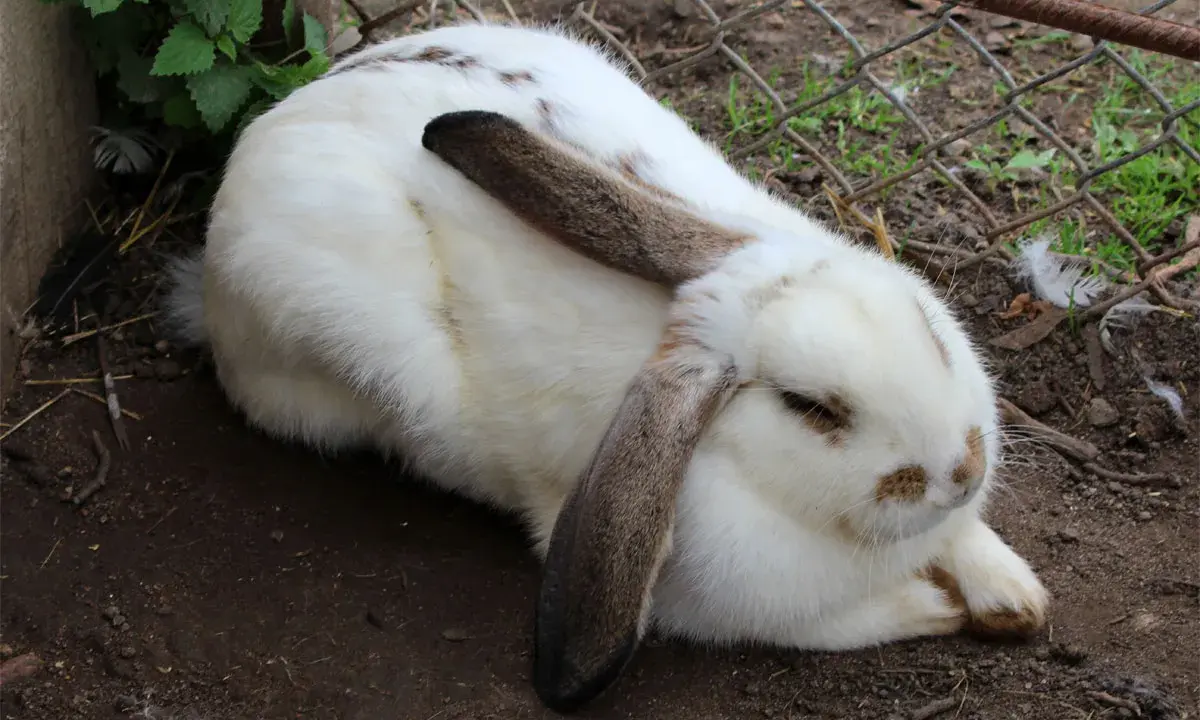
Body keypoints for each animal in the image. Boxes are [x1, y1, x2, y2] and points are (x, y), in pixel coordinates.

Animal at [164, 20, 1049, 713]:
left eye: (930, 332)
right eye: (811, 408)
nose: (963, 471)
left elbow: (972, 542)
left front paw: (1015, 597)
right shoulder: (751, 609)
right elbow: (856, 620)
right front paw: (941, 608)